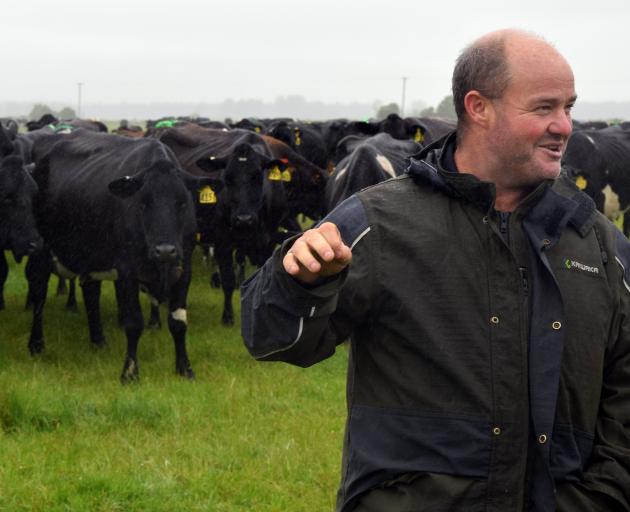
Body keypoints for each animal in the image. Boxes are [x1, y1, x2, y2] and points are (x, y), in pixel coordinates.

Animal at [26, 130, 220, 382]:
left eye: (183, 202)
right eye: (143, 203)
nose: (165, 250)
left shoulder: (183, 267)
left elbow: (178, 322)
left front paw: (185, 369)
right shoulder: (127, 271)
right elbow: (133, 323)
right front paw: (129, 372)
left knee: (91, 293)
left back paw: (98, 341)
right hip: (39, 248)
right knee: (38, 292)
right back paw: (36, 344)